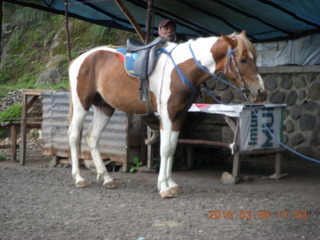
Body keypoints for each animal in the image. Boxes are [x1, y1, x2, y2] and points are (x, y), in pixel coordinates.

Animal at [67, 30, 264, 198]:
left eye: (255, 58)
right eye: (243, 59)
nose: (260, 91)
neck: (181, 69)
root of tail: (79, 60)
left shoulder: (179, 116)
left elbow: (172, 148)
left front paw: (171, 184)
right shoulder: (167, 115)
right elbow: (165, 149)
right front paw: (163, 187)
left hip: (105, 107)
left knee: (92, 137)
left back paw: (107, 178)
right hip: (81, 105)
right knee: (74, 136)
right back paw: (79, 178)